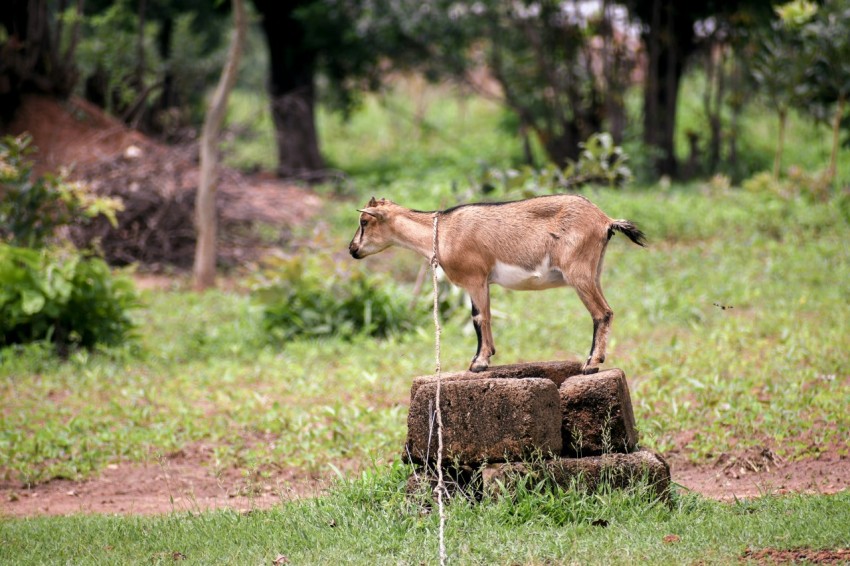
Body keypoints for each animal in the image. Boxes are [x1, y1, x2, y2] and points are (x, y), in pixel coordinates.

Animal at [344, 195, 644, 378]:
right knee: (607, 310)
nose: (352, 249)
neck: (442, 233)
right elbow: (485, 316)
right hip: (594, 271)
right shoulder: (483, 282)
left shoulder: (474, 277)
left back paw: (591, 364)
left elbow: (479, 317)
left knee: (601, 313)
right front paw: (487, 357)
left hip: (578, 272)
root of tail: (605, 220)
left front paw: (478, 363)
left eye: (364, 221)